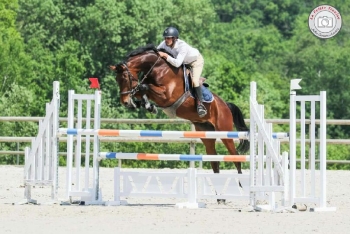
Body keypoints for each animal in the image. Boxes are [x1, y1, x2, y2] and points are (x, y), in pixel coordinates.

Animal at [109, 43, 249, 191]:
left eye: (125, 77)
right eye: (117, 79)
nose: (125, 102)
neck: (159, 68)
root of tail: (225, 105)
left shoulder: (166, 96)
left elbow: (144, 86)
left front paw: (145, 103)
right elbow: (140, 90)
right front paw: (146, 105)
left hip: (224, 131)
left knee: (236, 157)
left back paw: (242, 184)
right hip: (206, 133)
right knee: (214, 161)